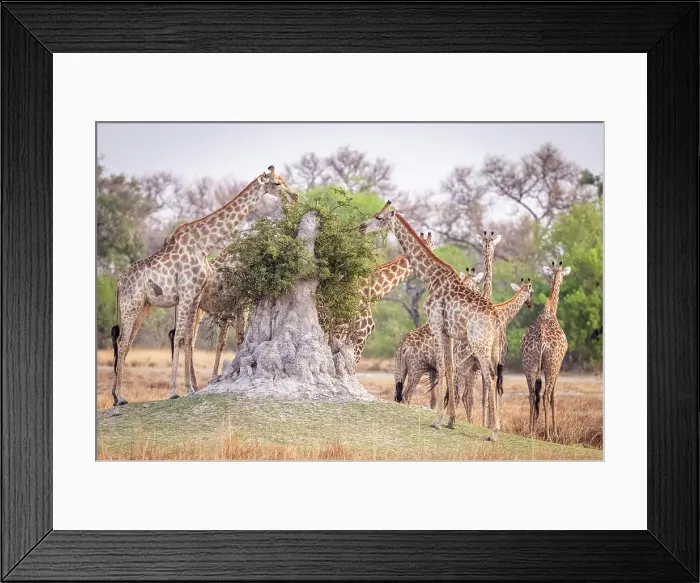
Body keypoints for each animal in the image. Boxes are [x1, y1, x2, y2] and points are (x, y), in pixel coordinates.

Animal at [110, 166, 298, 406]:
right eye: (276, 184)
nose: (295, 197)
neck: (203, 245)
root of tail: (118, 282)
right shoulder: (189, 293)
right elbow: (184, 337)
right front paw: (174, 391)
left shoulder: (196, 295)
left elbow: (190, 338)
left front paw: (191, 388)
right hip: (130, 304)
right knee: (123, 341)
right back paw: (120, 397)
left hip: (144, 306)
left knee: (128, 340)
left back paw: (117, 396)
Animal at [393, 267, 483, 408]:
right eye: (478, 283)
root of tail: (403, 345)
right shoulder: (457, 365)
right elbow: (453, 396)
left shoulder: (436, 369)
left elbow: (437, 399)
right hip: (416, 369)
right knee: (406, 395)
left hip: (399, 369)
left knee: (396, 396)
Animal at [520, 261, 571, 441]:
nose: (561, 281)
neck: (550, 311)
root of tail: (541, 342)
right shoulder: (559, 365)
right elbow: (553, 396)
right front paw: (555, 432)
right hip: (551, 365)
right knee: (546, 395)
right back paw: (548, 435)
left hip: (528, 365)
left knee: (531, 394)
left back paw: (531, 431)